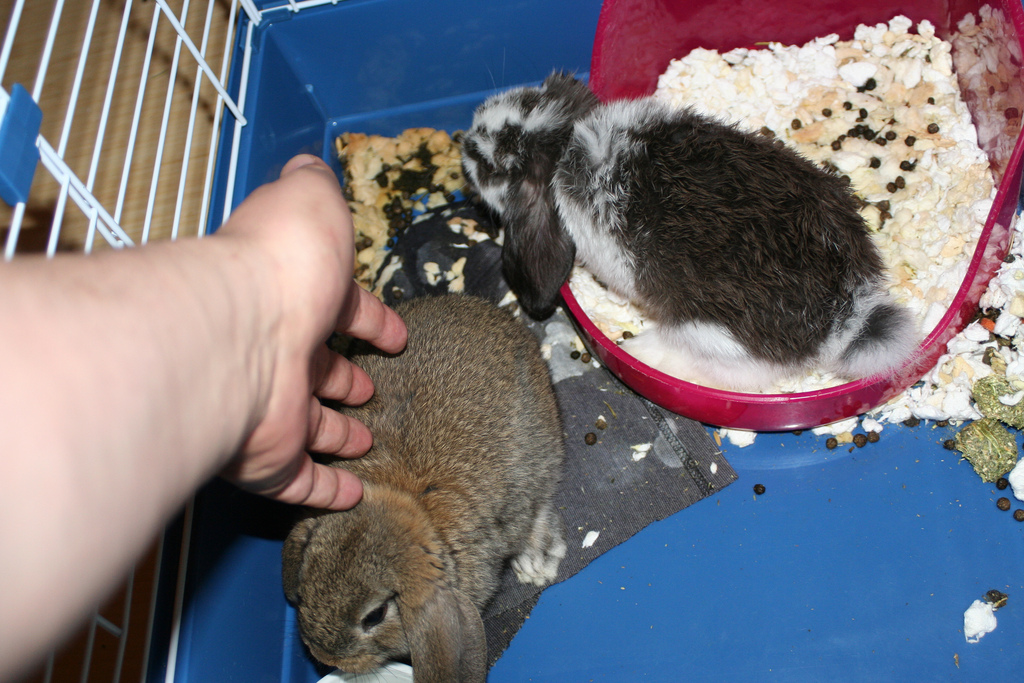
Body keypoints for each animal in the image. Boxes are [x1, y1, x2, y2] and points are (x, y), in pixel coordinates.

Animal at [281, 294, 567, 682]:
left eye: (375, 615)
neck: (404, 499)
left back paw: (534, 563)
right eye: (307, 580)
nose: (324, 656)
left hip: (541, 453)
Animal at [460, 71, 918, 391]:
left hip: (709, 337)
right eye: (526, 98)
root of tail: (845, 319)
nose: (466, 139)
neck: (564, 143)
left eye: (492, 166)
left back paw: (639, 350)